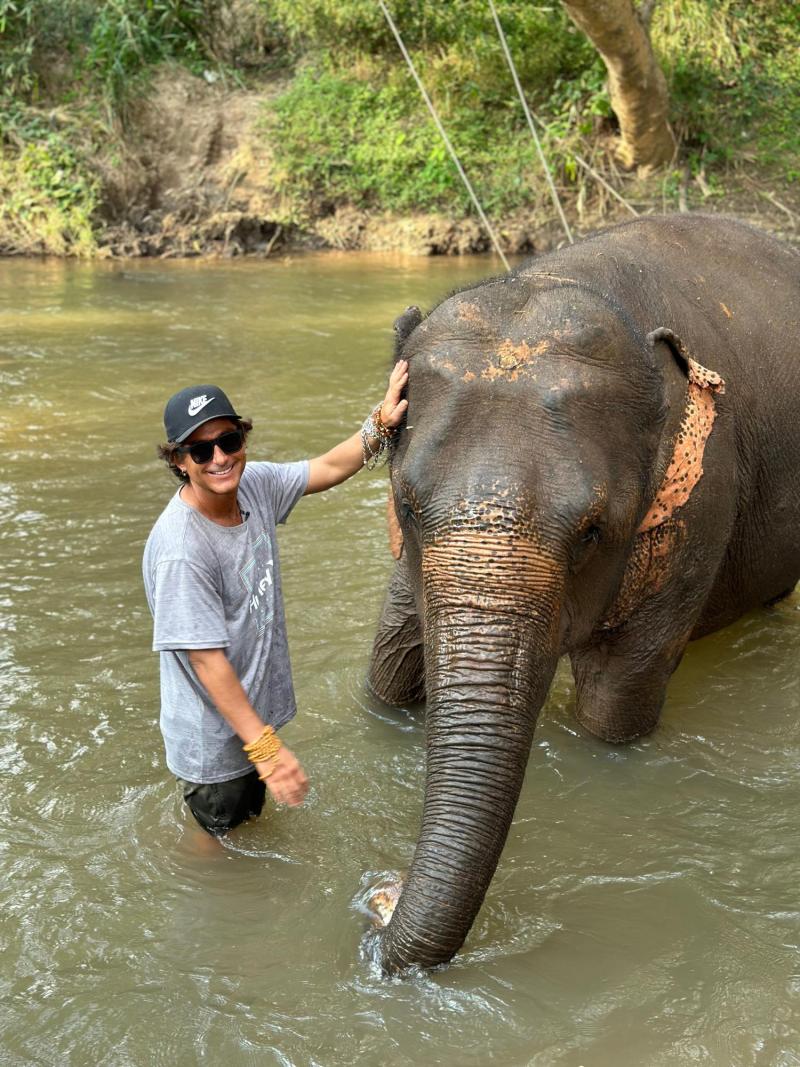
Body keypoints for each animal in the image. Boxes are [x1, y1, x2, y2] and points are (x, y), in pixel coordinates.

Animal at [365, 214, 800, 974]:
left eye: (593, 530)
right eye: (407, 506)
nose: (379, 897)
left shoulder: (697, 505)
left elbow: (613, 699)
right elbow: (389, 666)